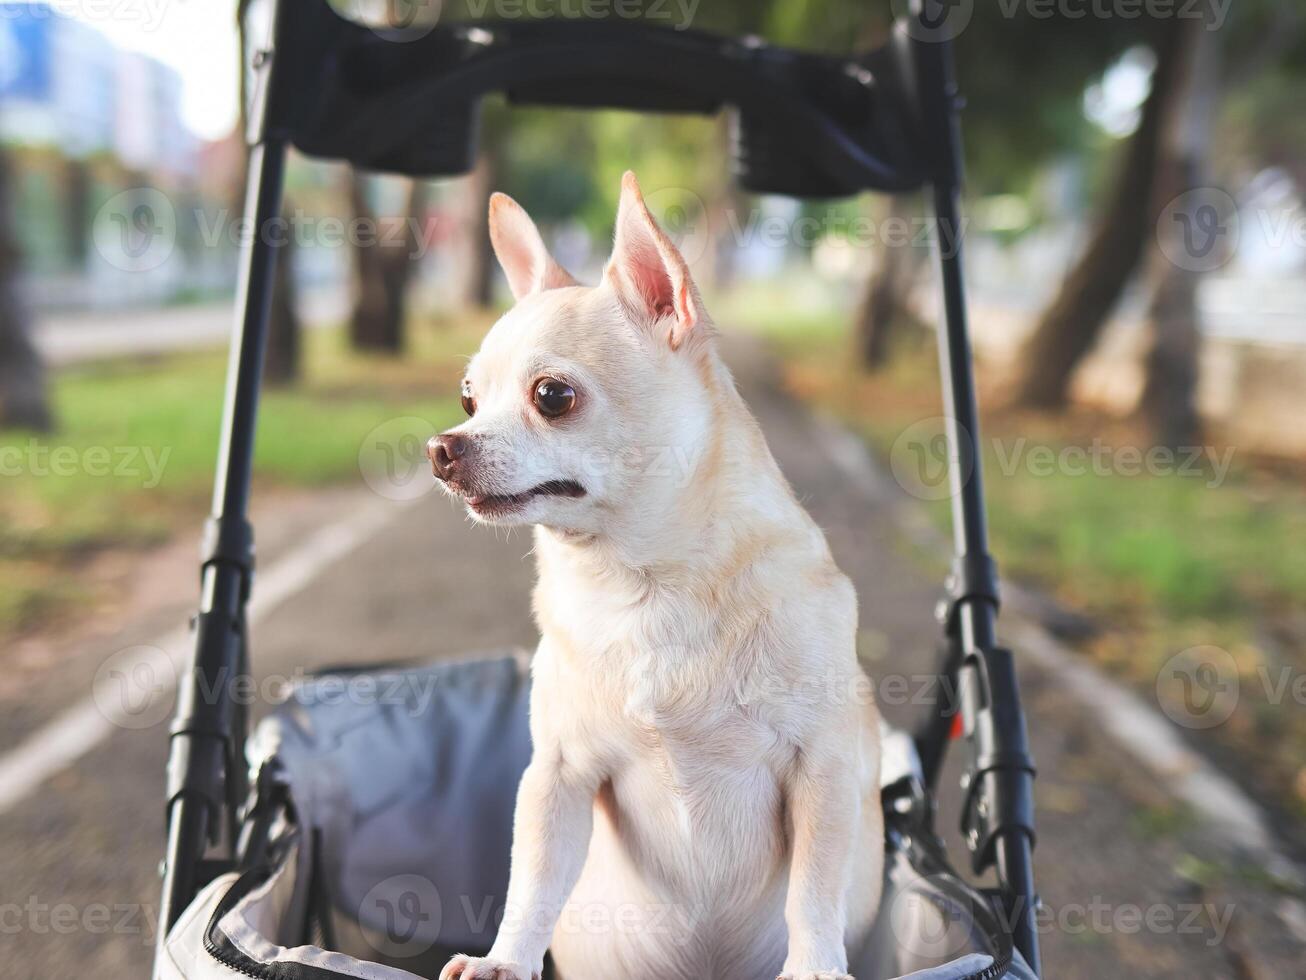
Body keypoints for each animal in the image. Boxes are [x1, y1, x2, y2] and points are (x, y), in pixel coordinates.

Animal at [433, 172, 882, 977]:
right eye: (468, 399)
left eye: (553, 396)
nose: (442, 448)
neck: (641, 585)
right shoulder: (557, 777)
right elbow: (533, 880)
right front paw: (504, 960)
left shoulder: (823, 771)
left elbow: (814, 887)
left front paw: (814, 968)